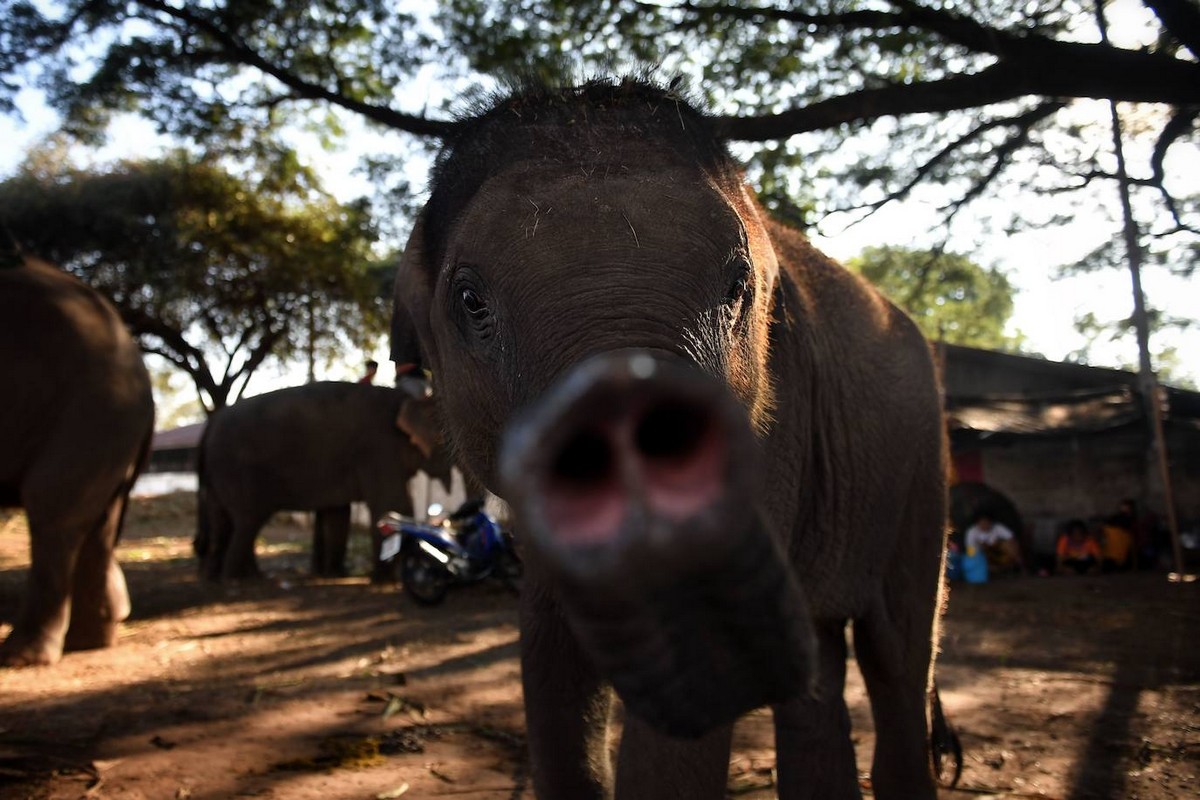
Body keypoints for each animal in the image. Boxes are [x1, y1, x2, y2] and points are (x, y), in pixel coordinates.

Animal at [194, 383, 456, 582]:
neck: (407, 399)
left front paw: (336, 574)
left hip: (218, 474)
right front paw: (385, 580)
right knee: (247, 521)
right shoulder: (380, 449)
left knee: (224, 521)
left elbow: (338, 513)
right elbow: (392, 505)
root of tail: (211, 423)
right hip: (237, 471)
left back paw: (220, 577)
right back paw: (237, 580)